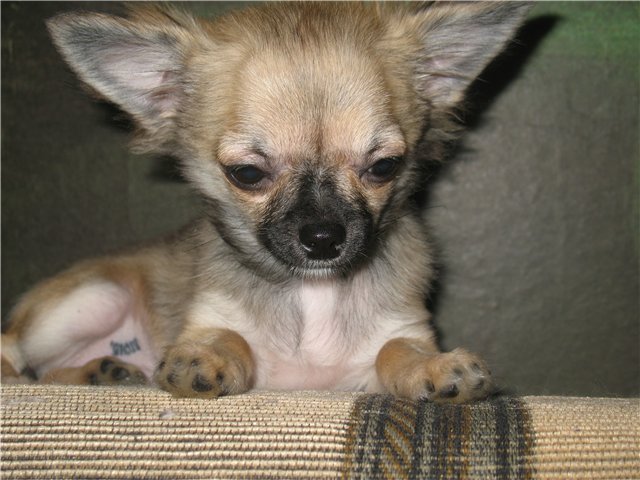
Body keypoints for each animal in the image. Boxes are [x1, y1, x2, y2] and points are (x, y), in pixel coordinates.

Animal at [2, 2, 530, 403]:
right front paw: (207, 357)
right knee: (14, 352)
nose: (323, 238)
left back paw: (100, 372)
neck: (313, 291)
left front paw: (434, 368)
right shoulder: (211, 318)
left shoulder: (395, 333)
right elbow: (230, 336)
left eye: (384, 167)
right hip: (94, 296)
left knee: (47, 375)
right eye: (248, 174)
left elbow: (395, 350)